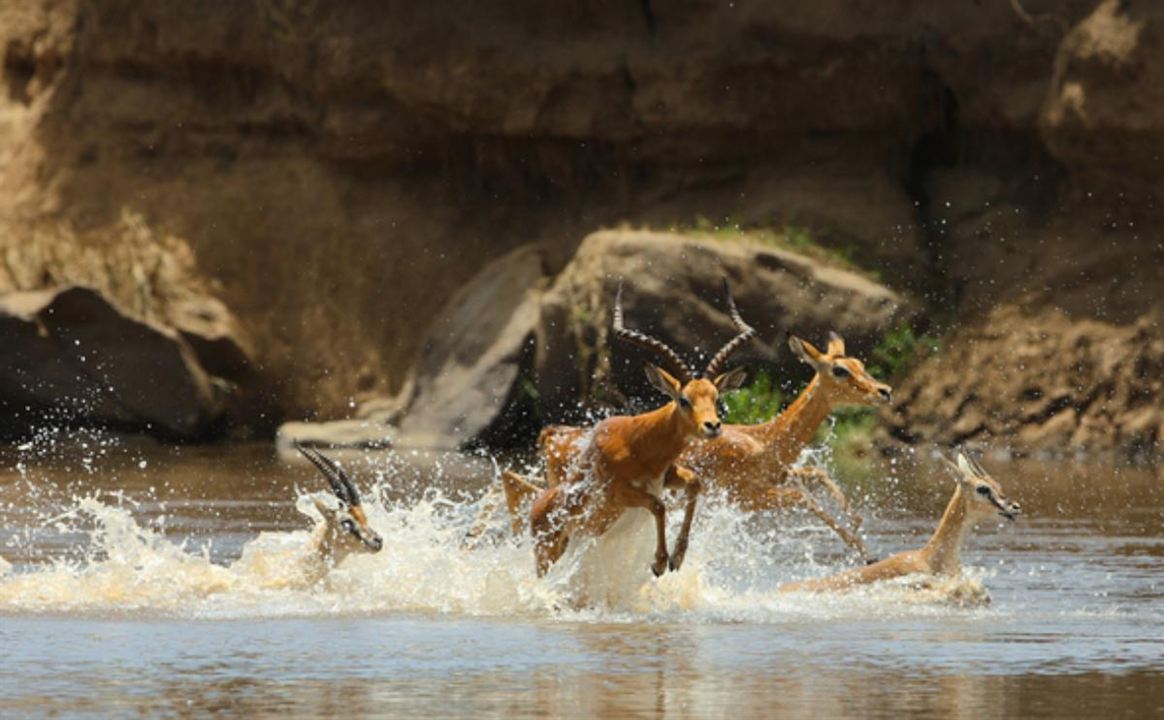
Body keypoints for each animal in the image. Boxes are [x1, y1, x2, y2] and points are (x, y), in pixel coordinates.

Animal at [530, 284, 754, 576]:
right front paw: (659, 562)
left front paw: (677, 557)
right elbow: (659, 505)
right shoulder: (619, 493)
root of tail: (535, 510)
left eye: (716, 398)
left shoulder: (665, 476)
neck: (637, 443)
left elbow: (695, 483)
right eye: (684, 400)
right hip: (548, 555)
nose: (713, 426)